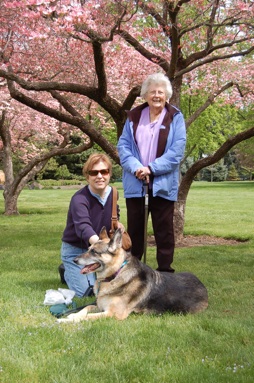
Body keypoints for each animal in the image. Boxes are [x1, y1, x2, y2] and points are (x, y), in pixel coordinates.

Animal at [58, 228, 208, 324]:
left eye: (94, 252)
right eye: (88, 249)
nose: (74, 260)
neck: (115, 274)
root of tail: (203, 286)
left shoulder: (112, 314)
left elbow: (87, 317)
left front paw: (65, 320)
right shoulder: (100, 306)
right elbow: (86, 308)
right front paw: (73, 314)